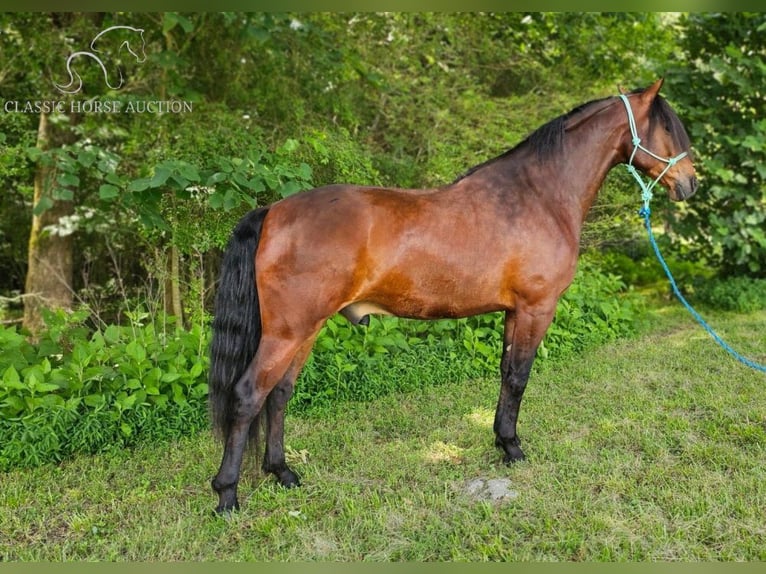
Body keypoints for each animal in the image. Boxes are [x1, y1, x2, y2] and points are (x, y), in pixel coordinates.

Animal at [207, 79, 700, 516]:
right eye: (667, 127)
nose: (690, 184)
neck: (539, 195)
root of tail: (273, 210)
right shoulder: (536, 308)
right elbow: (519, 378)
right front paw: (514, 449)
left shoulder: (512, 312)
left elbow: (505, 374)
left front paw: (501, 441)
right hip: (287, 332)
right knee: (249, 395)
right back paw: (227, 496)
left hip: (305, 329)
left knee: (279, 394)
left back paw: (283, 473)